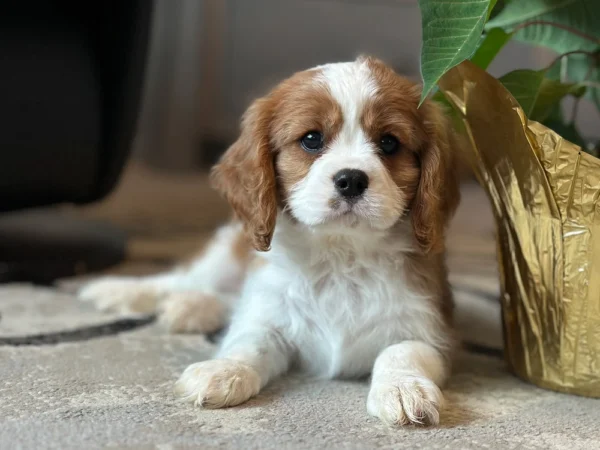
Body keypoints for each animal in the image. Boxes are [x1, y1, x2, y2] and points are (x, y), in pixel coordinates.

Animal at [79, 56, 462, 426]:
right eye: (311, 139)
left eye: (389, 143)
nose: (351, 180)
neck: (342, 254)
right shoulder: (267, 311)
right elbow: (250, 341)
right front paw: (225, 370)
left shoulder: (429, 330)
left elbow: (401, 351)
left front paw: (403, 388)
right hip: (226, 255)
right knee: (182, 280)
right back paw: (125, 291)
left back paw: (193, 307)